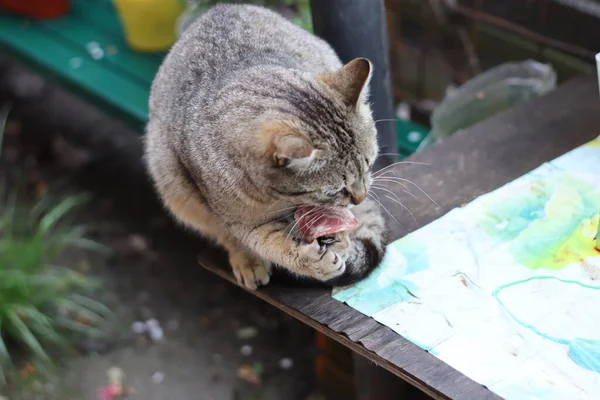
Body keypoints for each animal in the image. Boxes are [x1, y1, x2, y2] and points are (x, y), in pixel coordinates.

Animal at [148, 3, 386, 290]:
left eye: (370, 164)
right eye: (333, 190)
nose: (360, 196)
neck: (278, 199)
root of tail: (220, 7)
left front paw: (341, 239)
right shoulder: (242, 221)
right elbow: (269, 243)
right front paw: (311, 262)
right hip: (175, 188)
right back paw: (247, 261)